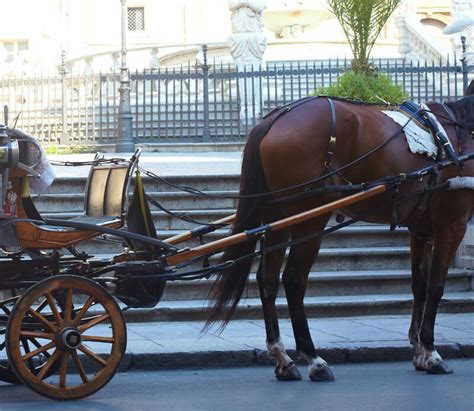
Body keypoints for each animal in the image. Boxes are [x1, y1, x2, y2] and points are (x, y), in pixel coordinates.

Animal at [206, 94, 474, 384]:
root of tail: (275, 118)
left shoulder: (419, 230)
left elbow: (420, 286)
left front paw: (420, 352)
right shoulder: (452, 225)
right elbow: (436, 286)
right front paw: (432, 353)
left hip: (277, 217)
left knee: (267, 280)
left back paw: (283, 359)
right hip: (309, 217)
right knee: (293, 279)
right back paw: (314, 359)